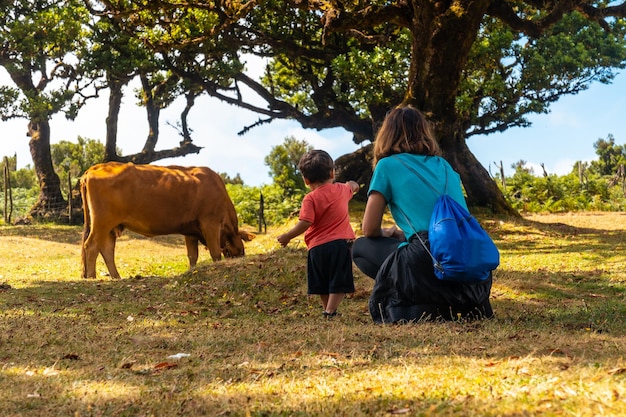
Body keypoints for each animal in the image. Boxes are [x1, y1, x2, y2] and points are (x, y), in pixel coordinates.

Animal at [80, 161, 251, 278]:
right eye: (240, 251)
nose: (239, 260)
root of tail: (96, 167)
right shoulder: (211, 223)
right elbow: (215, 253)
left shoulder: (191, 231)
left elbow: (192, 256)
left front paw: (192, 271)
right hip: (102, 222)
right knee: (92, 246)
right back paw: (92, 277)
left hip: (110, 227)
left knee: (106, 250)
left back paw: (116, 277)